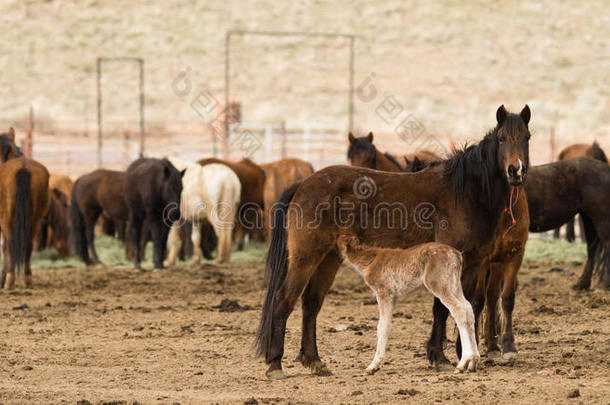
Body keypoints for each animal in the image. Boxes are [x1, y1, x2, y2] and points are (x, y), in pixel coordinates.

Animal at [0, 128, 50, 288]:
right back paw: (28, 279)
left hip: (7, 218)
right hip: (35, 219)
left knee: (10, 243)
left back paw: (10, 279)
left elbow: (5, 248)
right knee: (28, 243)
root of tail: (23, 168)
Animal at [256, 105, 532, 378]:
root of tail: (303, 184)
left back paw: (314, 361)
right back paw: (275, 364)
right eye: (501, 138)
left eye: (527, 137)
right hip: (305, 257)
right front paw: (439, 357)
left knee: (311, 304)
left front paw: (463, 355)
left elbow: (470, 306)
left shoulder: (474, 263)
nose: (515, 170)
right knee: (283, 299)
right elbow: (441, 309)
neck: (464, 193)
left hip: (329, 258)